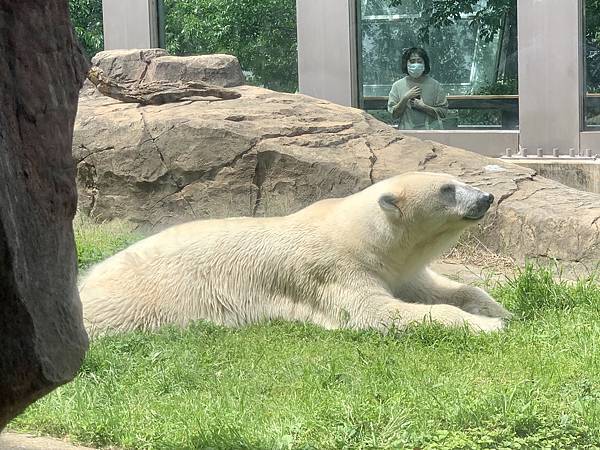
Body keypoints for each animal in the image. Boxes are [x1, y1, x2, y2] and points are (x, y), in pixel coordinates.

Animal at [78, 171, 510, 336]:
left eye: (457, 180)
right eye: (447, 189)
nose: (487, 197)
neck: (360, 235)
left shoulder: (397, 266)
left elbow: (433, 287)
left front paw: (498, 309)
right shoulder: (332, 270)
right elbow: (376, 311)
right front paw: (488, 325)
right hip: (135, 302)